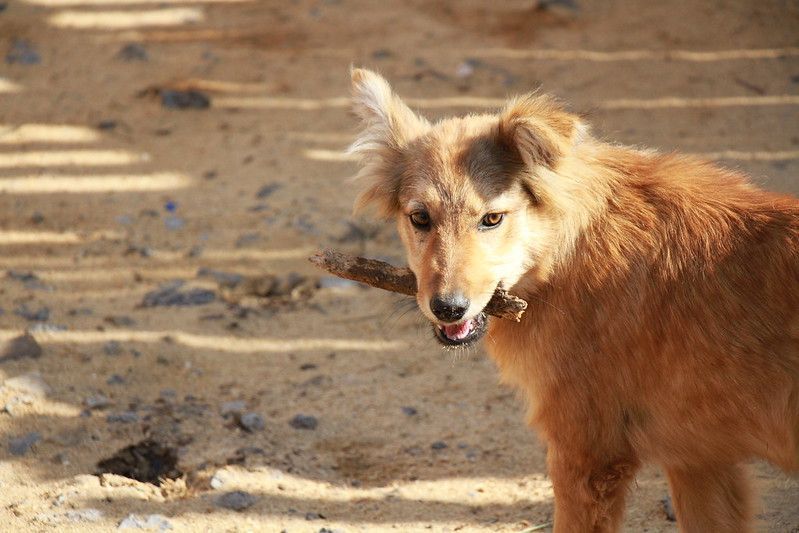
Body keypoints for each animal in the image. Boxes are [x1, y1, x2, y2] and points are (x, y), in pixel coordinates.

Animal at [346, 68, 799, 528]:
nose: (448, 308)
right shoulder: (699, 460)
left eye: (492, 218)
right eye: (420, 218)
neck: (564, 255)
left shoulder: (588, 459)